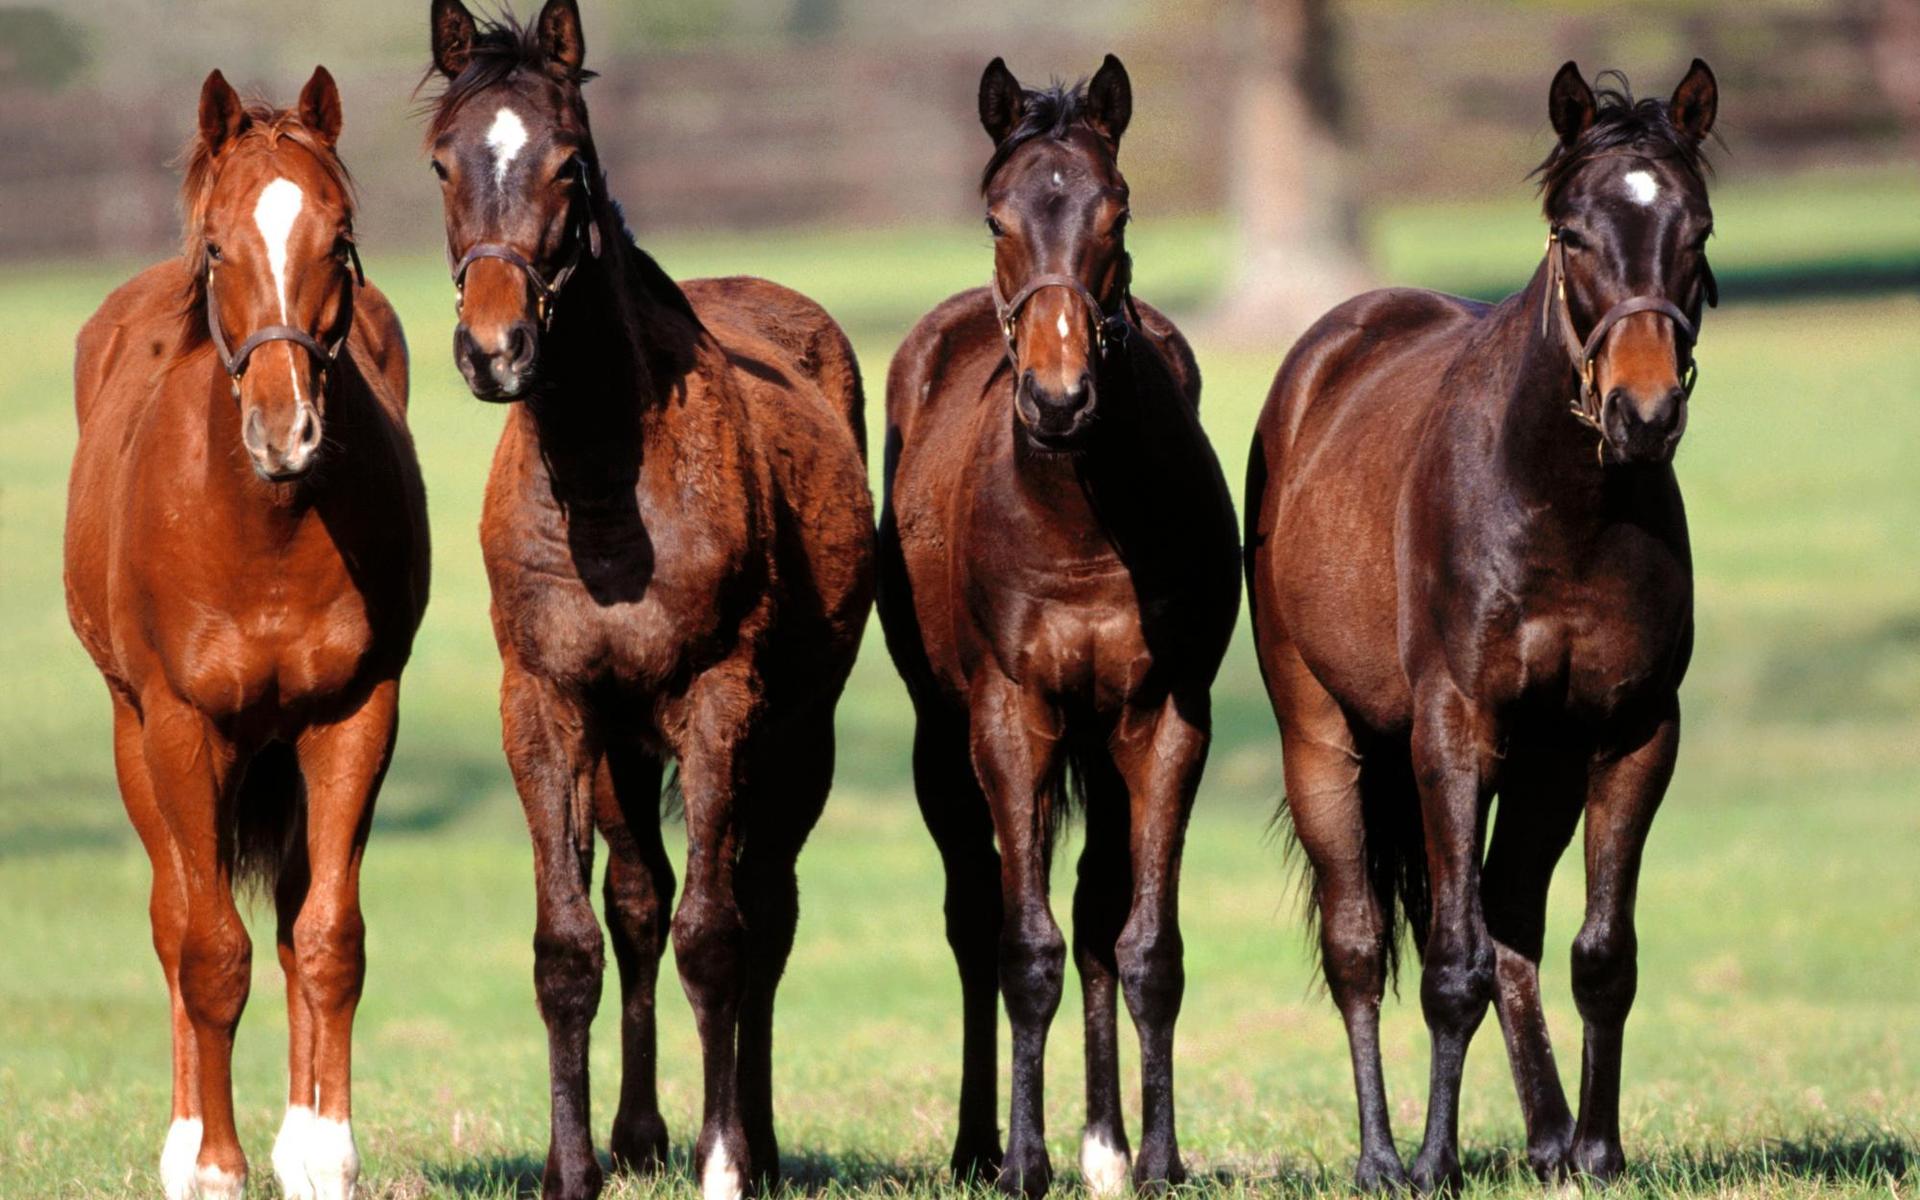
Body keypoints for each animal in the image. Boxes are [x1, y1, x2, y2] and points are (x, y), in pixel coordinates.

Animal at [68, 63, 432, 1198]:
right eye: (221, 247)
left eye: (341, 238)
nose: (286, 432)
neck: (262, 525)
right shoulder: (184, 728)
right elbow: (206, 951)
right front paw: (217, 1166)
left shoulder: (354, 717)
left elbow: (326, 940)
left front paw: (321, 1152)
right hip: (133, 735)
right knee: (175, 919)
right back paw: (186, 1141)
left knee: (288, 921)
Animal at [424, 2, 875, 1198]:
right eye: (442, 162)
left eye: (569, 163)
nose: (495, 350)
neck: (602, 491)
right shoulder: (546, 707)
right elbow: (570, 943)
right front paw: (571, 1167)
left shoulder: (720, 701)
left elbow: (716, 934)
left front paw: (723, 1161)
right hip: (623, 748)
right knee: (636, 900)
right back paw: (635, 1136)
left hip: (794, 735)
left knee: (763, 906)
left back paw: (753, 1139)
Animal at [879, 53, 1236, 1198]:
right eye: (997, 215)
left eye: (1115, 210)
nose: (1059, 396)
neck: (1080, 516)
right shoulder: (1011, 718)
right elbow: (1019, 946)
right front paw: (1023, 1162)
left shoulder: (1164, 719)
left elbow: (1144, 945)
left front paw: (1155, 1158)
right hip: (941, 742)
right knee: (977, 915)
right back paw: (977, 1143)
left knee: (1094, 917)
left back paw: (1106, 1145)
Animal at [1244, 58, 1728, 1190]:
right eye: (1572, 233)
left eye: (1697, 231)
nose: (1644, 413)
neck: (1564, 506)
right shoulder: (1454, 731)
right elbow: (1445, 965)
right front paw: (1434, 1164)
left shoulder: (1633, 734)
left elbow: (1601, 953)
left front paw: (1599, 1152)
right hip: (1323, 738)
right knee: (1361, 945)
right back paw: (1382, 1157)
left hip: (1544, 767)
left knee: (1511, 921)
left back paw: (1550, 1140)